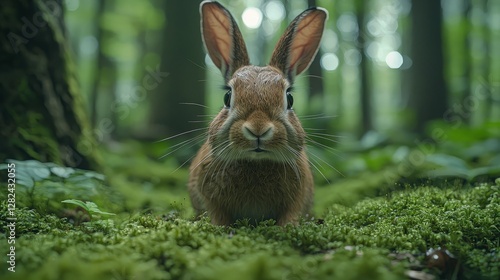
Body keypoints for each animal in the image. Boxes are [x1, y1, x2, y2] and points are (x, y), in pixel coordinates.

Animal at [188, 0, 328, 225]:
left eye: (289, 98)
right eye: (227, 97)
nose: (258, 128)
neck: (255, 162)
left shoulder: (298, 197)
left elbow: (291, 213)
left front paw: (287, 227)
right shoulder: (207, 196)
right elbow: (216, 214)